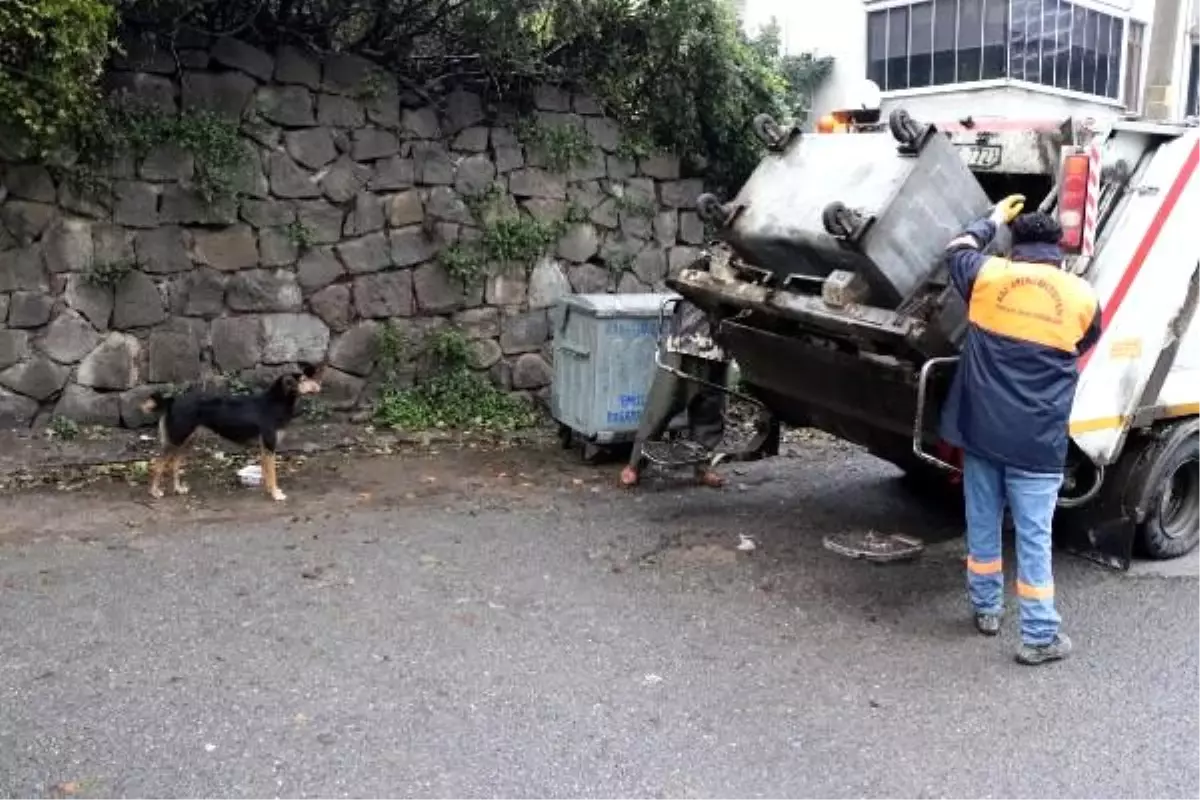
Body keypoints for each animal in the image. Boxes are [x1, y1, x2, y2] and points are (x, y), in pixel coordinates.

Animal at [139, 367, 324, 503]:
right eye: (303, 380)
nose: (319, 385)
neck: (275, 402)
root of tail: (173, 401)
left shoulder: (264, 448)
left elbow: (266, 472)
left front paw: (270, 490)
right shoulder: (269, 445)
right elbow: (272, 474)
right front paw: (276, 494)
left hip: (188, 440)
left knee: (174, 464)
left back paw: (178, 489)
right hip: (176, 439)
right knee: (158, 465)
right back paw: (154, 492)